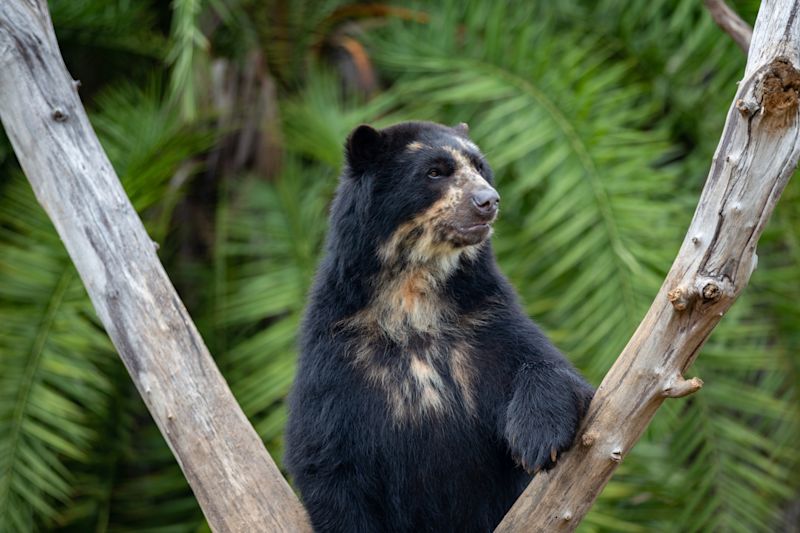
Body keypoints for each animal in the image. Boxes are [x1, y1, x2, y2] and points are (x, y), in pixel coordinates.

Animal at [286, 121, 592, 532]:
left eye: (479, 166)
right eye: (435, 172)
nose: (488, 201)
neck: (413, 295)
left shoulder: (484, 318)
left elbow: (549, 367)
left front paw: (537, 441)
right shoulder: (337, 351)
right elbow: (325, 457)